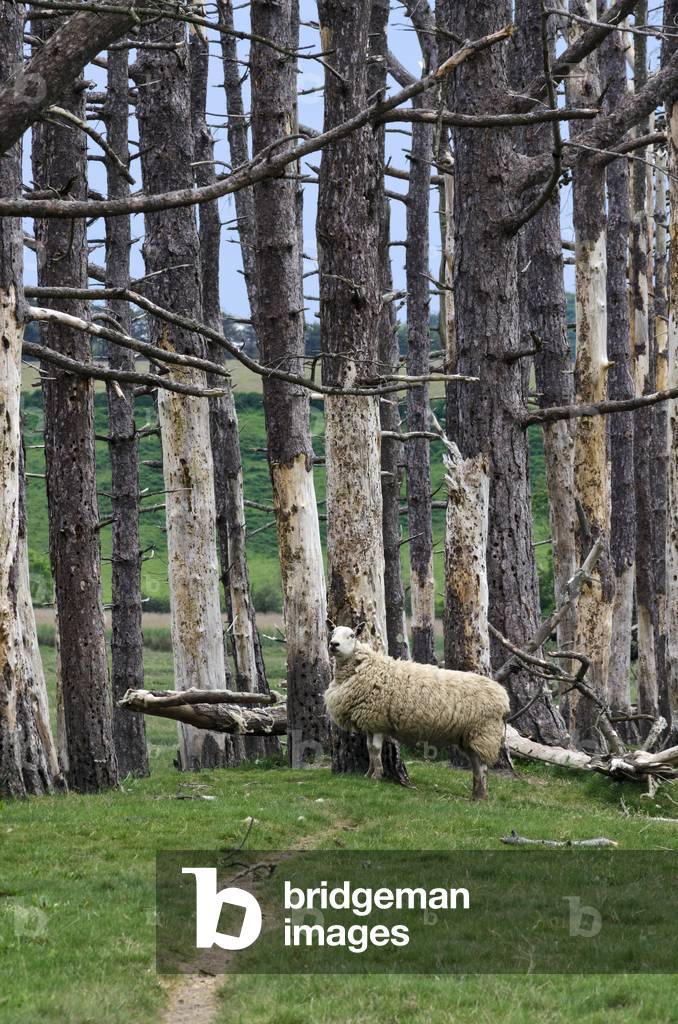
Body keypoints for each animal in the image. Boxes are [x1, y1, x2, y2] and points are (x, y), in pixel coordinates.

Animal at [325, 623, 510, 800]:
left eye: (352, 635)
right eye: (332, 632)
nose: (333, 644)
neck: (366, 667)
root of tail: (503, 696)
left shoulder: (376, 720)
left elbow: (376, 750)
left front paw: (376, 776)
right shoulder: (370, 722)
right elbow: (370, 748)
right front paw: (368, 773)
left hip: (484, 732)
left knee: (482, 767)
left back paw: (481, 796)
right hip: (470, 736)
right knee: (476, 763)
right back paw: (476, 795)